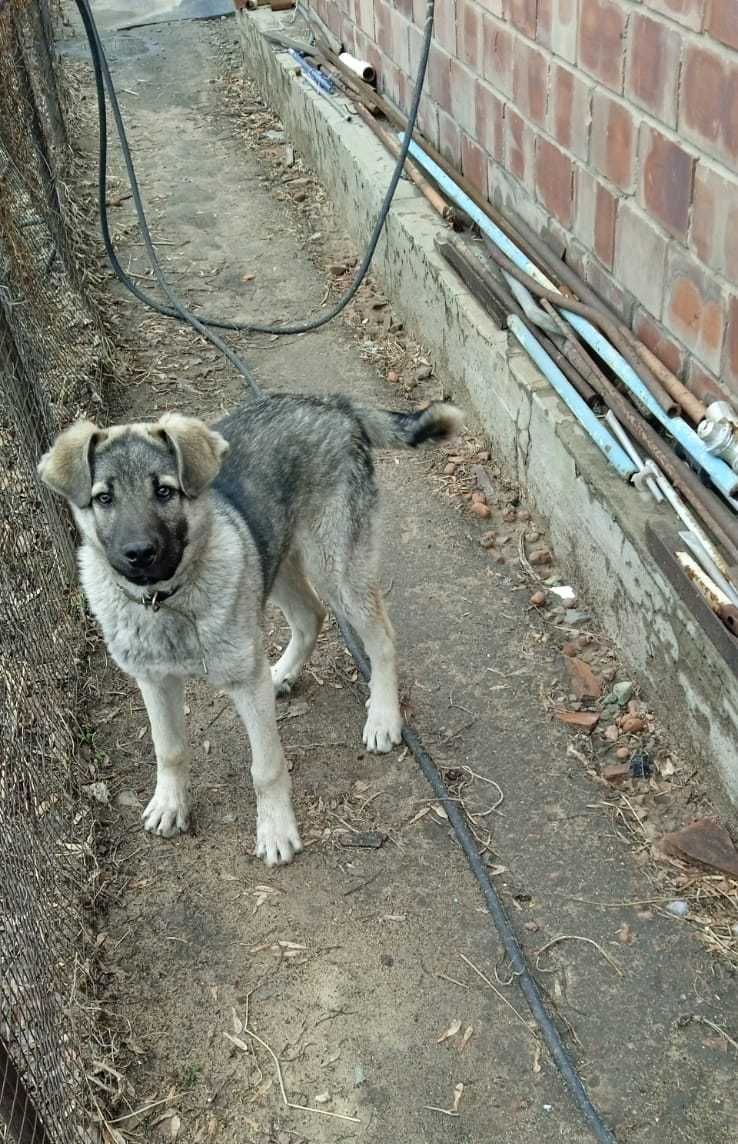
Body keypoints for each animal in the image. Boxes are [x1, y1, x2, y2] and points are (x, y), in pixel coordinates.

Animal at [38, 393, 459, 864]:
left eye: (164, 491)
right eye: (104, 498)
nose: (139, 554)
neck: (167, 602)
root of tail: (333, 403)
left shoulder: (243, 685)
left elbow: (266, 767)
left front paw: (275, 830)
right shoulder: (154, 681)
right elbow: (169, 748)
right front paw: (170, 803)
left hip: (336, 568)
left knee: (381, 638)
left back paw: (383, 716)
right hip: (275, 563)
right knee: (310, 615)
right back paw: (283, 673)